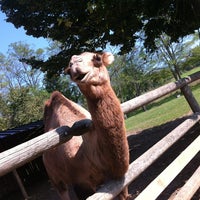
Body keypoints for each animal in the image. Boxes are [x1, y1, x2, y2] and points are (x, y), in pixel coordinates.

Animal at [42, 52, 130, 200]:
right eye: (68, 71)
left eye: (98, 58)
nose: (74, 63)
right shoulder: (80, 183)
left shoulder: (117, 181)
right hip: (54, 177)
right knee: (62, 190)